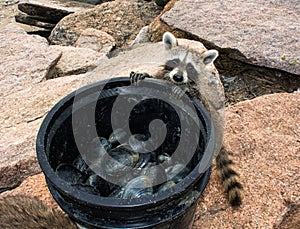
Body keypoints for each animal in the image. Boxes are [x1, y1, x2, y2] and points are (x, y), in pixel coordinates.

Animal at [130, 30, 243, 208]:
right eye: (175, 61)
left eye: (190, 67)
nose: (178, 77)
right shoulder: (162, 75)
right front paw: (144, 74)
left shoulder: (199, 93)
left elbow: (193, 92)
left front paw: (184, 88)